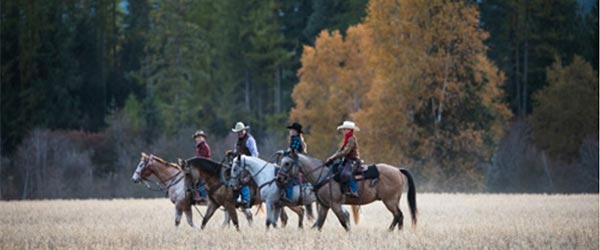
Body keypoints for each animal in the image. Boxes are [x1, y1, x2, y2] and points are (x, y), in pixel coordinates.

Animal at [278, 153, 414, 231]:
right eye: (281, 162)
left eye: (287, 163)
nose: (279, 177)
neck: (324, 176)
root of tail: (398, 170)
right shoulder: (324, 205)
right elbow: (319, 224)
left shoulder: (335, 205)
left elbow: (344, 223)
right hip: (394, 201)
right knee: (400, 216)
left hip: (389, 201)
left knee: (397, 215)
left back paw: (389, 231)